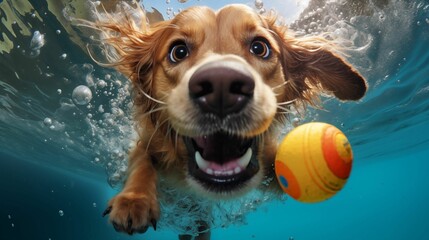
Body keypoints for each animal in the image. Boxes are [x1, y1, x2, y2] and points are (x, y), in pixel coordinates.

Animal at [86, 2, 364, 240]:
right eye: (178, 51)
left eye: (260, 47)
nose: (221, 86)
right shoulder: (146, 143)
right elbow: (141, 161)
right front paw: (134, 200)